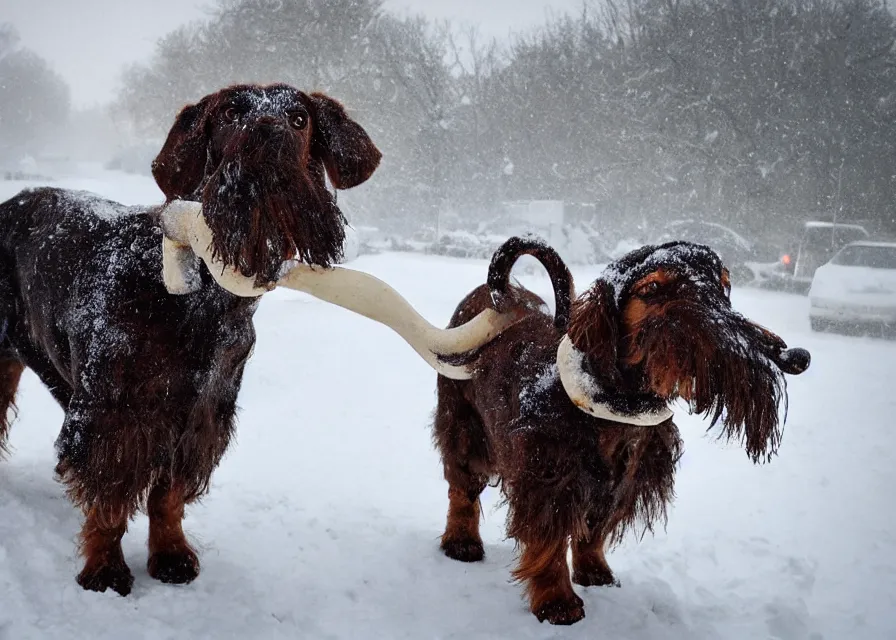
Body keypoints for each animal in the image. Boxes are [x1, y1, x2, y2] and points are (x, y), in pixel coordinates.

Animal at [0, 84, 382, 596]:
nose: (268, 135)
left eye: (300, 118)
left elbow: (168, 498)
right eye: (230, 112)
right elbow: (109, 501)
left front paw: (171, 556)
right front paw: (104, 570)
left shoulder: (200, 417)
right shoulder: (109, 415)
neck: (201, 296)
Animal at [434, 235, 812, 624]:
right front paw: (558, 602)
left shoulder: (622, 482)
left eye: (724, 284)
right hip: (463, 428)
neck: (612, 410)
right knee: (462, 490)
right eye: (652, 288)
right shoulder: (547, 480)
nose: (793, 356)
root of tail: (502, 294)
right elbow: (548, 543)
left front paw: (594, 573)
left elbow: (593, 533)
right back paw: (461, 541)